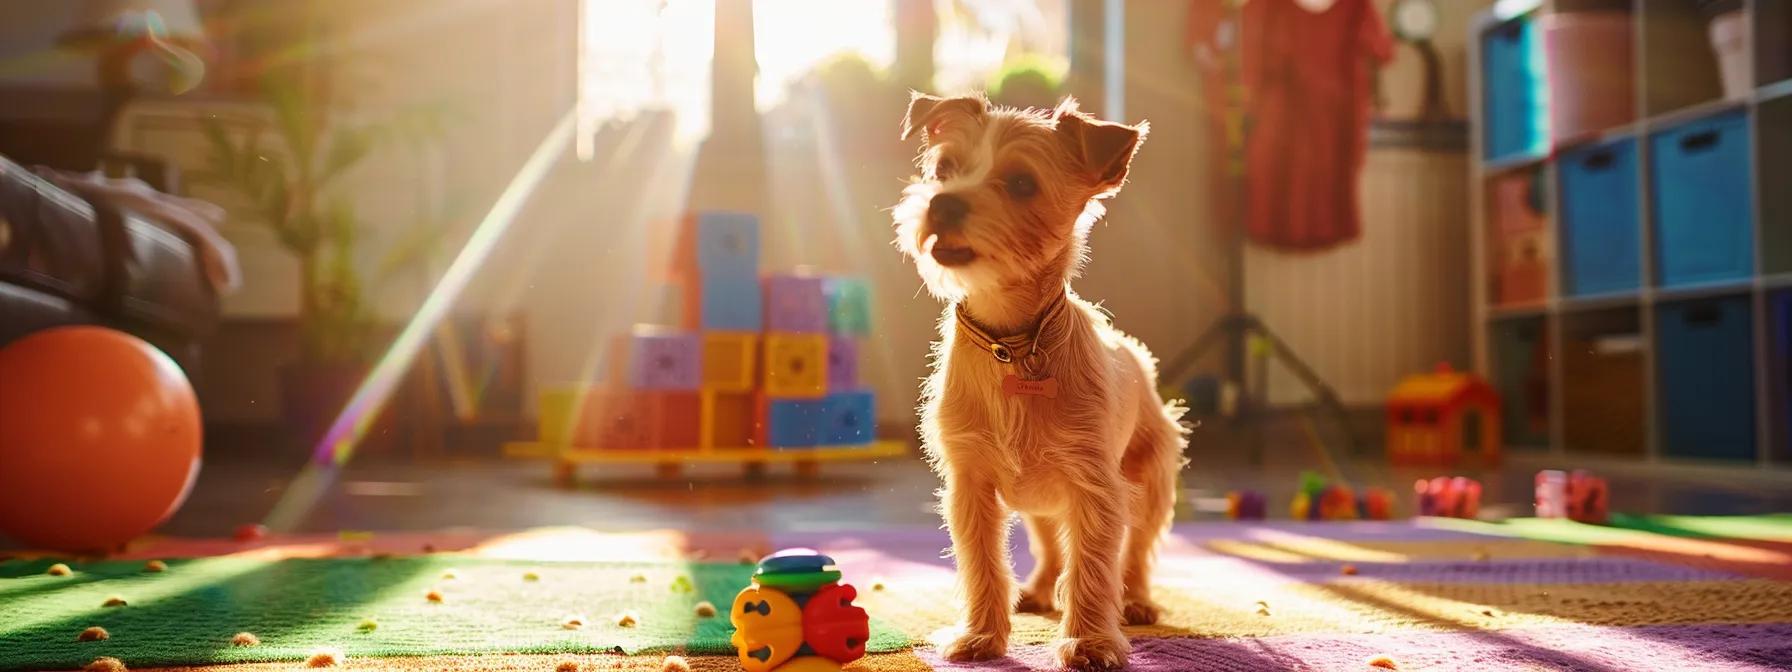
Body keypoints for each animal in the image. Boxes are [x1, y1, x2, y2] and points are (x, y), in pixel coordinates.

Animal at [896, 90, 1189, 672]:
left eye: (1021, 183)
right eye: (943, 170)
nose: (943, 203)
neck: (1011, 342)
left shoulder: (1095, 489)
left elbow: (1093, 569)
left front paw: (1091, 643)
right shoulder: (972, 486)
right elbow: (982, 564)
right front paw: (981, 636)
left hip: (1148, 483)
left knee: (1136, 551)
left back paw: (1136, 600)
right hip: (1036, 501)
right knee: (1051, 545)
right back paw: (1035, 590)